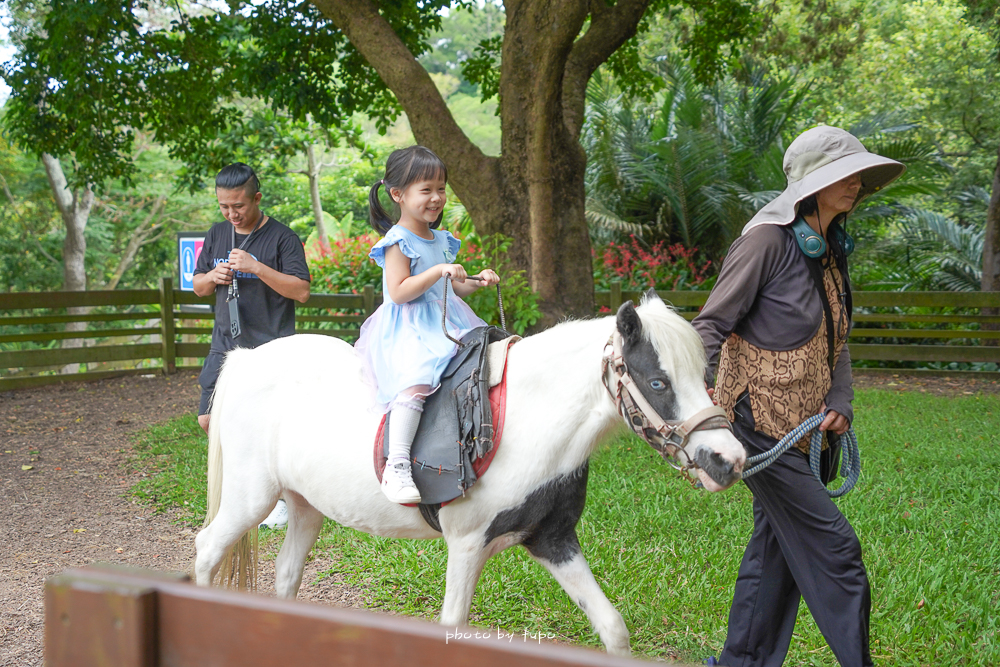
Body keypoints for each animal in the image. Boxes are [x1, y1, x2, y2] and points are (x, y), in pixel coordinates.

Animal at [193, 294, 744, 656]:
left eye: (705, 375)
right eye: (658, 382)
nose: (728, 461)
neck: (524, 418)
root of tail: (246, 358)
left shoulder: (552, 540)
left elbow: (612, 628)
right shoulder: (467, 544)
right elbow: (453, 626)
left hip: (305, 506)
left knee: (286, 574)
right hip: (250, 499)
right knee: (207, 549)